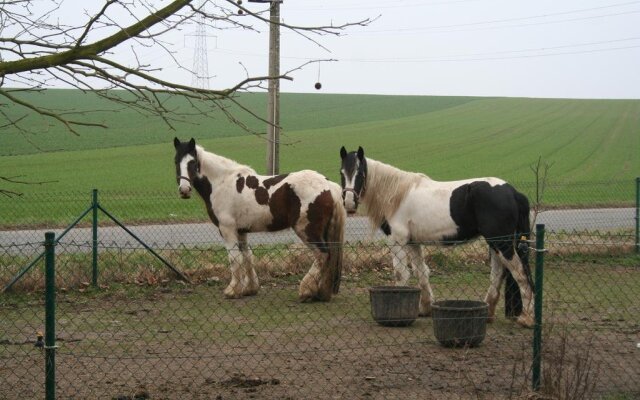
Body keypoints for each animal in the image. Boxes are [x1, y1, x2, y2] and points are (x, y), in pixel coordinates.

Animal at [172, 139, 344, 302]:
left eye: (192, 162)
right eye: (176, 161)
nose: (184, 190)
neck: (222, 182)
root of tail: (328, 185)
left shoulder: (227, 229)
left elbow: (234, 258)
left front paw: (232, 290)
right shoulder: (241, 231)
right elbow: (247, 256)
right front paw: (250, 289)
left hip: (307, 230)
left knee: (322, 255)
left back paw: (306, 291)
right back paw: (320, 294)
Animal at [340, 145, 536, 326]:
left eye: (359, 173)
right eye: (342, 172)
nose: (349, 203)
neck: (396, 195)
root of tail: (513, 192)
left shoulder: (398, 242)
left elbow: (400, 274)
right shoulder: (413, 243)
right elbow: (421, 273)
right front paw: (425, 308)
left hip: (502, 243)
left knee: (520, 273)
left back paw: (527, 318)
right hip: (494, 243)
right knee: (497, 274)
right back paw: (488, 314)